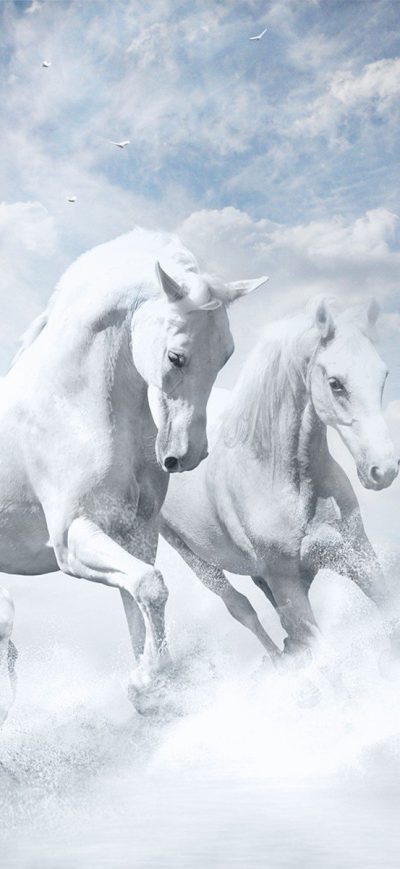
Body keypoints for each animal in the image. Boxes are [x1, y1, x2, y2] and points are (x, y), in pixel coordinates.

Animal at [0, 226, 268, 719]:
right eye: (176, 357)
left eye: (226, 356)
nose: (188, 455)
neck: (71, 405)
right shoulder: (73, 538)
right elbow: (150, 587)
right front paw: (148, 684)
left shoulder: (134, 534)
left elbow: (140, 604)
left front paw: (150, 688)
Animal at [160, 297, 399, 666]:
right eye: (336, 383)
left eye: (383, 375)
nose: (383, 470)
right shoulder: (287, 583)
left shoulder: (358, 556)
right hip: (195, 559)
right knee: (241, 608)